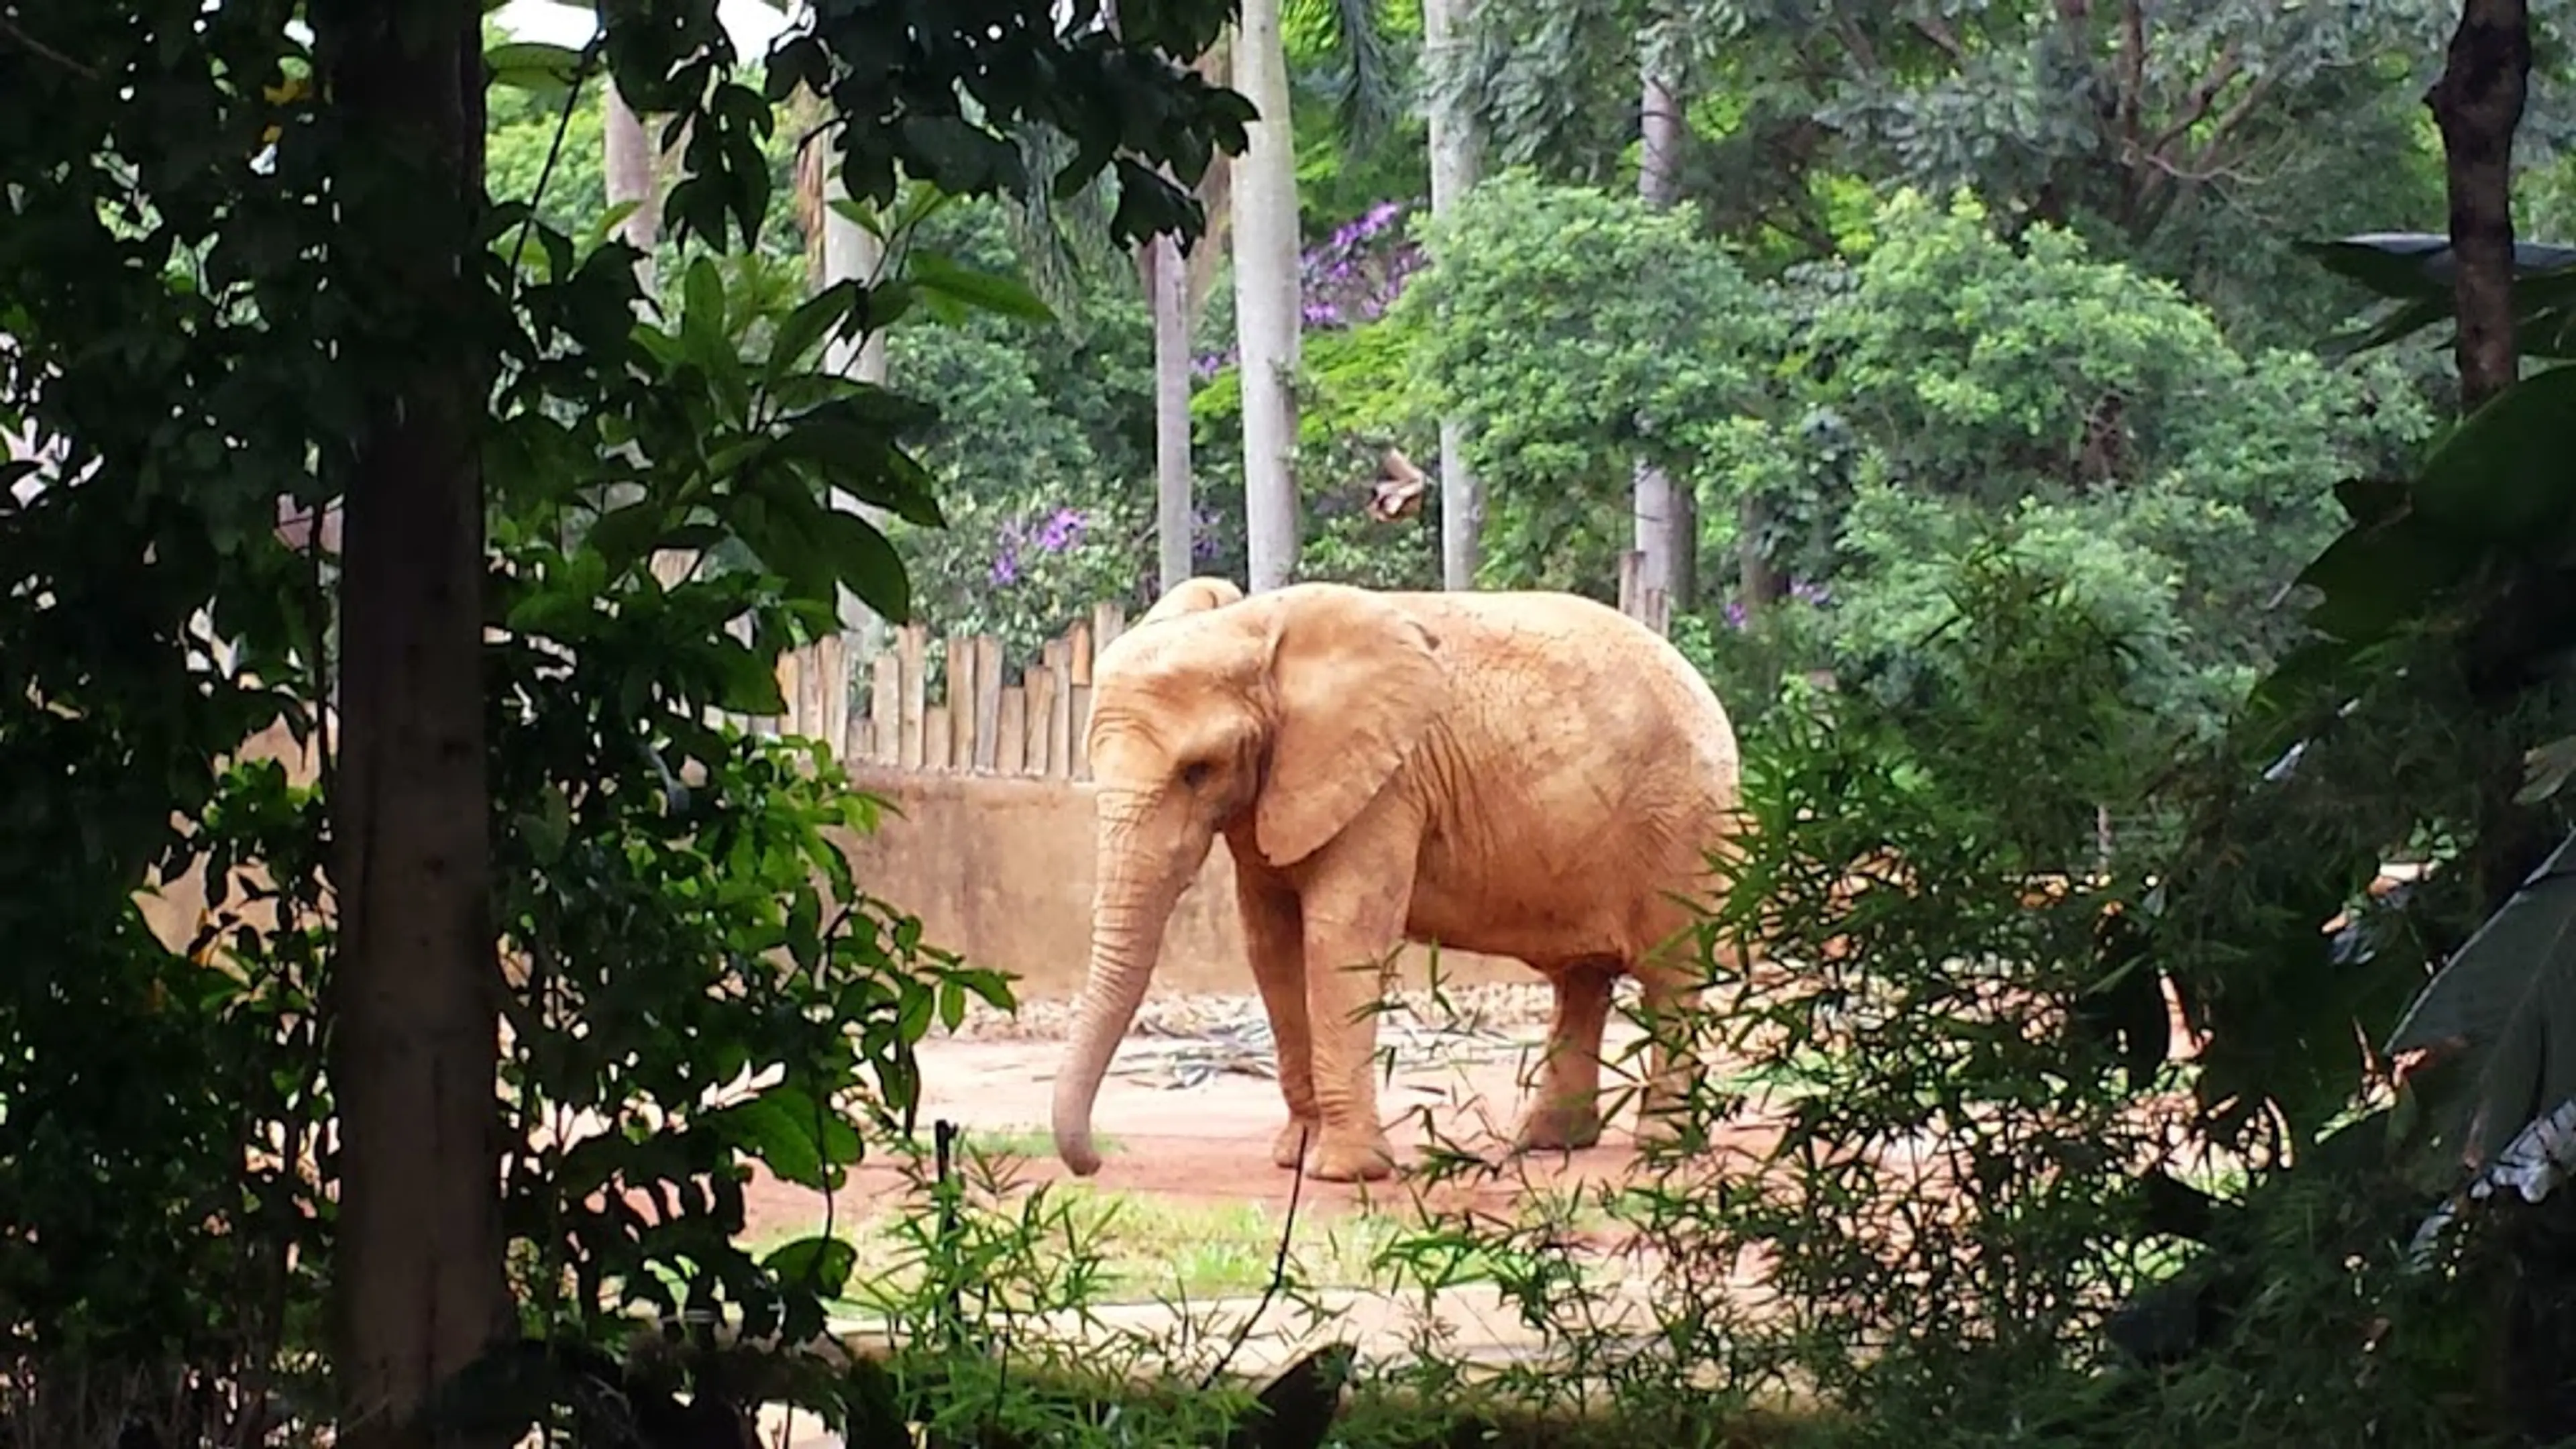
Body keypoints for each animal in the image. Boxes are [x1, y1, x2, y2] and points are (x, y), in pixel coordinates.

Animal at [1046, 570, 1752, 1181]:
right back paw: (1547, 1143)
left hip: (1683, 822)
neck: (1254, 626)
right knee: (1582, 980)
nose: (1097, 1163)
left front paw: (1342, 1173)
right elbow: (1272, 946)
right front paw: (1296, 1157)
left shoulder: (1387, 785)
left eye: (1198, 771)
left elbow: (1338, 938)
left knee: (1670, 974)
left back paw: (1663, 1146)